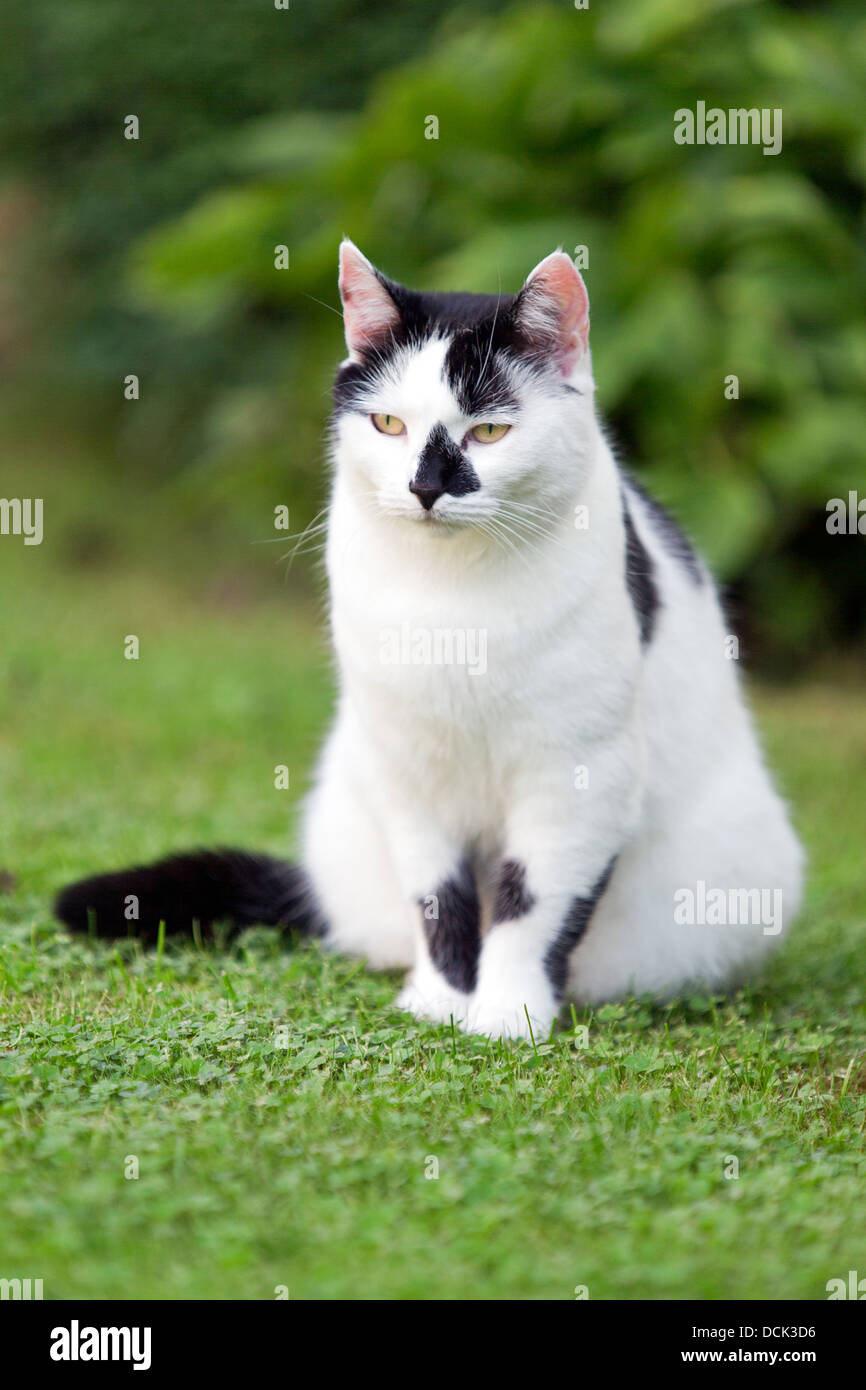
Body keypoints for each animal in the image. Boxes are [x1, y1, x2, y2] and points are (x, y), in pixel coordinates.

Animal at [57, 244, 806, 1039]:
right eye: (388, 423)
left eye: (489, 432)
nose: (425, 488)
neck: (453, 603)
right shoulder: (409, 767)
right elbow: (439, 897)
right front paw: (443, 1002)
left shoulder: (579, 778)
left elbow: (531, 904)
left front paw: (507, 1013)